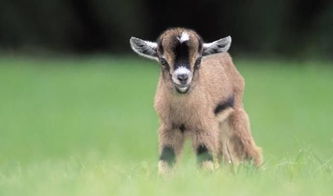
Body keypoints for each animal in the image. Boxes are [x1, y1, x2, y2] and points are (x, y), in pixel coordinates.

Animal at [128, 27, 260, 173]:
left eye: (198, 60)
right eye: (163, 61)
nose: (183, 77)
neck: (183, 113)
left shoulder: (204, 127)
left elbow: (205, 160)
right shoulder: (169, 128)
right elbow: (166, 159)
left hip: (235, 115)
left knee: (250, 150)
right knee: (225, 157)